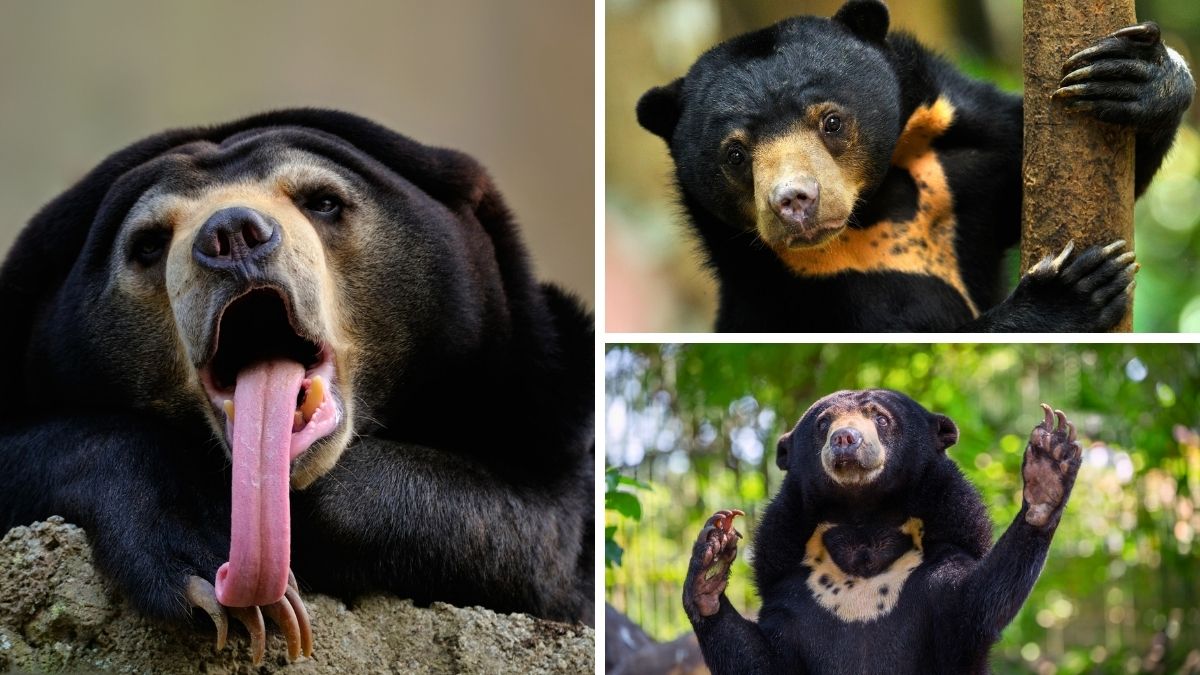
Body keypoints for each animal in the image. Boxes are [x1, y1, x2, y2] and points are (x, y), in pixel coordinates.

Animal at [0, 109, 594, 664]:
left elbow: (538, 532)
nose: (230, 235)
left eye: (323, 201)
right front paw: (207, 575)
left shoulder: (549, 397)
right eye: (148, 243)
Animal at [637, 0, 1195, 332]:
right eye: (734, 154)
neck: (877, 204)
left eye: (832, 122)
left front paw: (1136, 76)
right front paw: (1076, 288)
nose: (794, 201)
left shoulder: (964, 159)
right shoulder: (799, 295)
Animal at [683, 389, 1082, 674]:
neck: (864, 522)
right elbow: (762, 660)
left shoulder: (941, 562)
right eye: (823, 424)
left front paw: (1049, 466)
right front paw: (712, 555)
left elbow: (976, 600)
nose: (845, 438)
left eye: (881, 418)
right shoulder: (790, 587)